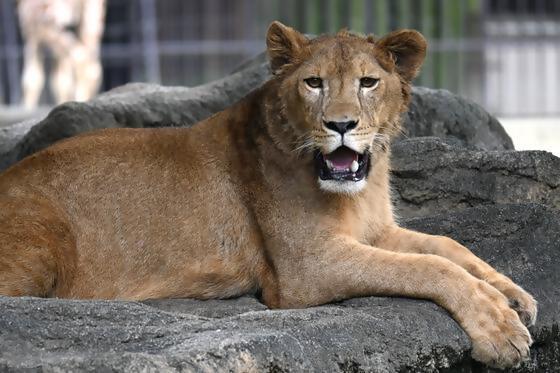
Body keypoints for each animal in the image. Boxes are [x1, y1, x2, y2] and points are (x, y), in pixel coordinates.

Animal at [0, 21, 536, 368]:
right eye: (314, 83)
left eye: (368, 82)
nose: (341, 125)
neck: (355, 192)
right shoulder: (305, 268)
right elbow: (428, 268)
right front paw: (500, 327)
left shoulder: (376, 230)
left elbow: (447, 246)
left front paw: (514, 294)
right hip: (42, 240)